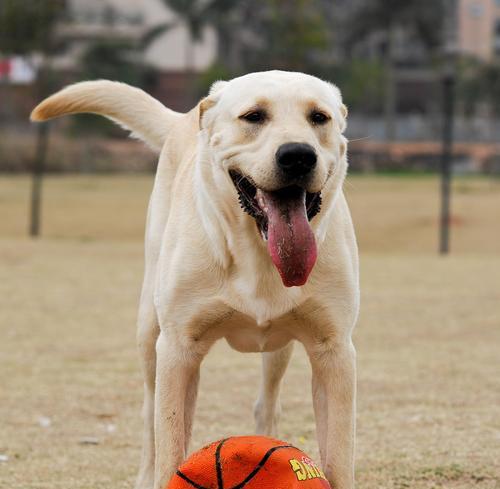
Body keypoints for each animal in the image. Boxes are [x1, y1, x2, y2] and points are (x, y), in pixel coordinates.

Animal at [31, 69, 360, 488]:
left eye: (319, 117)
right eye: (254, 116)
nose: (298, 155)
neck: (257, 254)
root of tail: (186, 117)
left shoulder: (333, 350)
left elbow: (340, 453)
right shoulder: (178, 348)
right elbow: (170, 441)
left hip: (280, 346)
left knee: (267, 402)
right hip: (149, 332)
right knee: (151, 419)